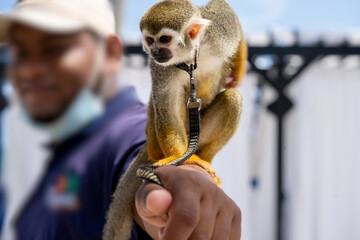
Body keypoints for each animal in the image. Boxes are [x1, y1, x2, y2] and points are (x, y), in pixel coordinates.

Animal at [139, 0, 246, 164]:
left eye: (164, 39)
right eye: (150, 40)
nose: (154, 51)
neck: (190, 56)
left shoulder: (219, 35)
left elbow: (226, 11)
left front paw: (237, 71)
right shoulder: (160, 67)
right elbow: (168, 110)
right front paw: (178, 156)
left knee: (233, 99)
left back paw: (206, 159)